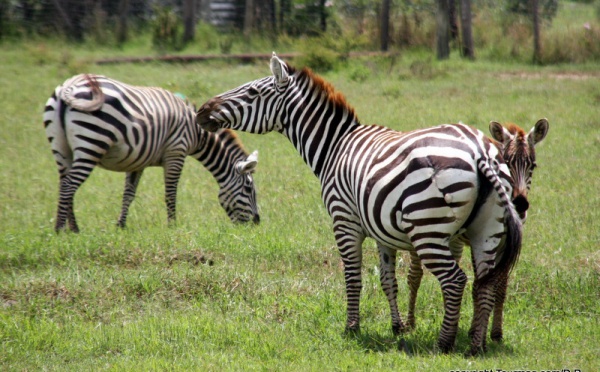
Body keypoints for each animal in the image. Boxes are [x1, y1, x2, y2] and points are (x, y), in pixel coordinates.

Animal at [44, 72, 260, 232]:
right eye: (249, 188)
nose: (257, 223)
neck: (197, 132)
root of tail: (70, 85)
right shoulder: (176, 152)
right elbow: (170, 193)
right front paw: (173, 226)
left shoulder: (137, 160)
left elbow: (129, 194)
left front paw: (121, 225)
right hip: (92, 142)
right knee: (69, 185)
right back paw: (60, 229)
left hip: (61, 149)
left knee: (64, 183)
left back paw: (73, 229)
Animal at [196, 53, 520, 354]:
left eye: (252, 92)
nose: (201, 111)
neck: (333, 147)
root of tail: (479, 150)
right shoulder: (381, 229)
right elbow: (388, 280)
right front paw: (397, 327)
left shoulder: (344, 220)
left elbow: (352, 277)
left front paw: (351, 327)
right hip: (487, 231)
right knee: (485, 283)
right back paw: (476, 345)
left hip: (428, 228)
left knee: (454, 281)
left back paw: (444, 344)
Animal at [406, 118, 552, 342]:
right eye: (506, 162)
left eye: (532, 166)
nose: (520, 205)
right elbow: (477, 284)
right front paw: (474, 331)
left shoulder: (502, 244)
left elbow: (499, 286)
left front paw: (494, 333)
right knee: (415, 275)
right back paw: (411, 323)